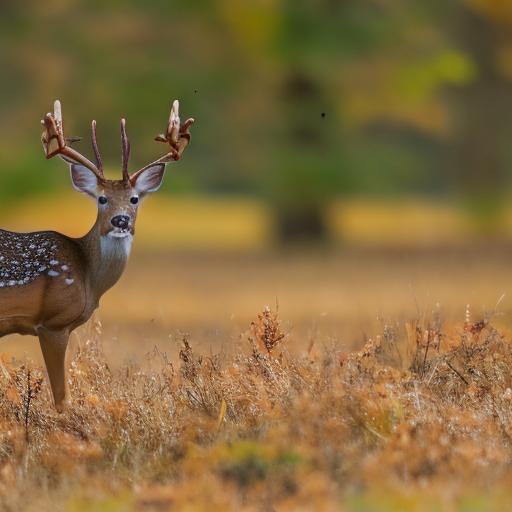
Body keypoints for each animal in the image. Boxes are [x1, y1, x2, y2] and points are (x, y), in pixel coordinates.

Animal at [0, 100, 194, 412]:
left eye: (134, 199)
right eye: (102, 198)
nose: (120, 220)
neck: (88, 277)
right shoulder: (53, 322)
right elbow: (61, 398)